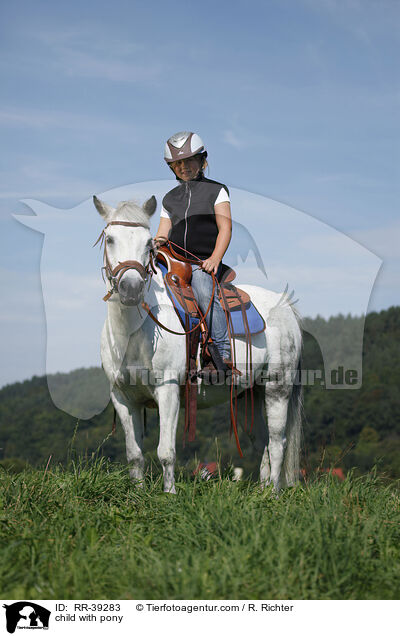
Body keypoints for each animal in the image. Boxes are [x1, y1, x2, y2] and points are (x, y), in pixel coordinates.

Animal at [94, 194, 302, 492]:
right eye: (110, 239)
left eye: (147, 244)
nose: (131, 289)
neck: (133, 333)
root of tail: (285, 305)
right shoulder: (123, 397)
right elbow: (134, 455)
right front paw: (138, 494)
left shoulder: (168, 390)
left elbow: (165, 452)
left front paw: (169, 494)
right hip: (249, 394)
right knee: (262, 443)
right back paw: (261, 492)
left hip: (277, 387)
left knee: (277, 442)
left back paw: (273, 493)